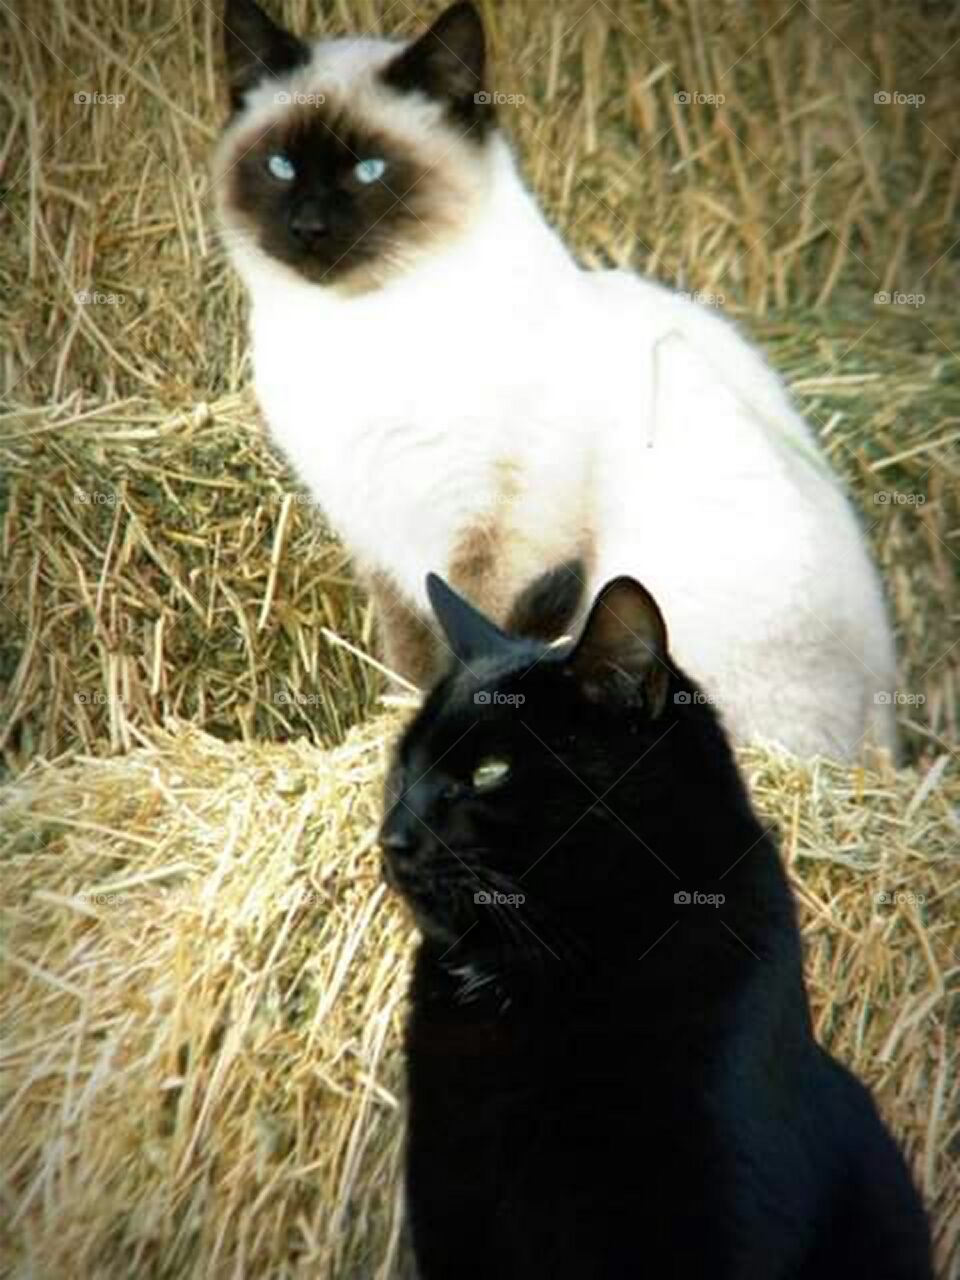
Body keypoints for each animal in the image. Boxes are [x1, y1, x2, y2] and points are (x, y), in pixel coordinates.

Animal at [212, 0, 901, 757]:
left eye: (369, 170)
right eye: (280, 166)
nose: (307, 227)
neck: (353, 322)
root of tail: (888, 741)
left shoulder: (495, 531)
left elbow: (474, 635)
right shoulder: (377, 538)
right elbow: (410, 657)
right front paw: (398, 719)